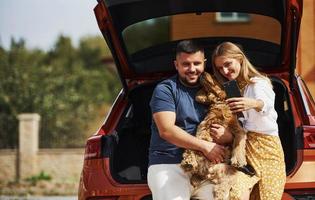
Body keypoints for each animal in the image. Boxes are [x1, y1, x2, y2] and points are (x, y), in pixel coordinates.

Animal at [181, 72, 251, 200]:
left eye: (214, 76)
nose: (203, 72)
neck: (220, 101)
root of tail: (208, 172)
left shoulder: (238, 129)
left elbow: (238, 143)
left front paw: (238, 160)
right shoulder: (206, 124)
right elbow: (202, 136)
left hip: (230, 172)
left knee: (225, 183)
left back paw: (220, 193)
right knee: (190, 151)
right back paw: (188, 163)